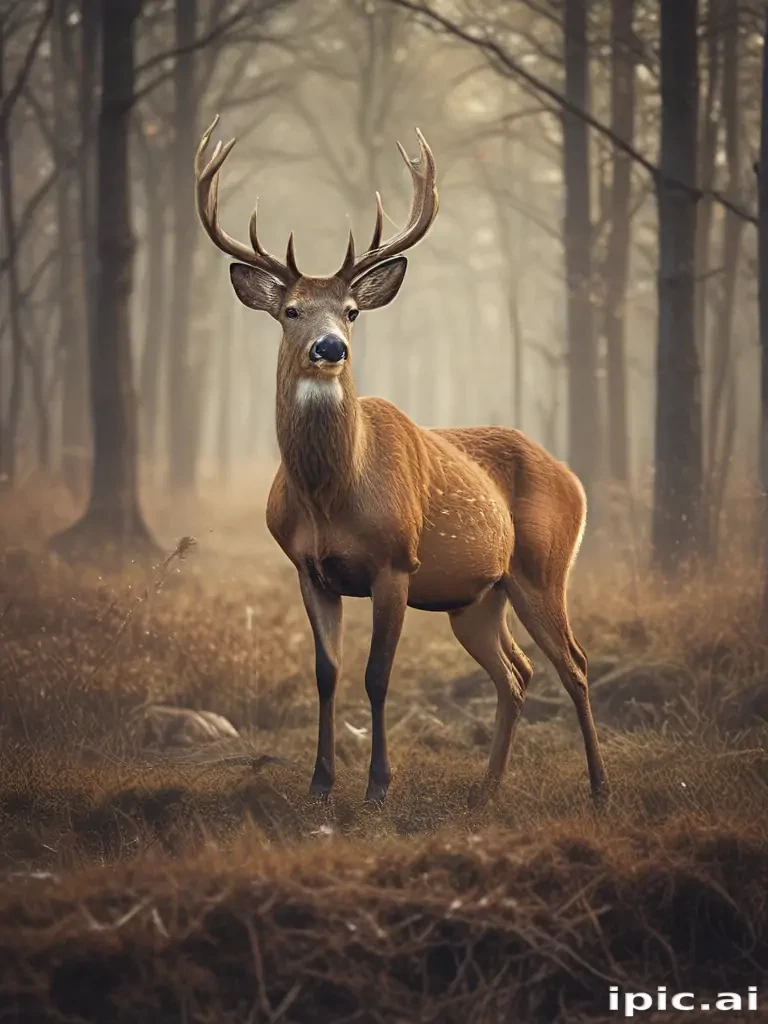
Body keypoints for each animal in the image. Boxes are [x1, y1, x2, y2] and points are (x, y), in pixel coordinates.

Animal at [194, 115, 609, 809]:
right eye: (291, 310)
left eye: (353, 310)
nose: (329, 347)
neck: (330, 497)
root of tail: (575, 477)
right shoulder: (308, 569)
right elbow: (327, 673)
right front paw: (319, 784)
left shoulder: (395, 562)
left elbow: (377, 675)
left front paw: (378, 788)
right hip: (477, 597)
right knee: (518, 672)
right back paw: (485, 790)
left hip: (543, 566)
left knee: (573, 663)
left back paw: (601, 788)